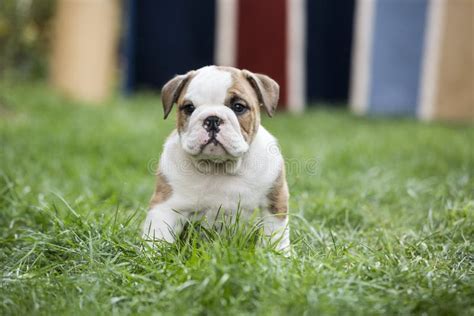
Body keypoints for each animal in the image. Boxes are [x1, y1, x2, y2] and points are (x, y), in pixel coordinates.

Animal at [141, 65, 288, 253]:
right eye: (189, 108)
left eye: (238, 107)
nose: (212, 119)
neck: (218, 167)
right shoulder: (165, 206)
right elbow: (157, 237)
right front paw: (150, 256)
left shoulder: (273, 206)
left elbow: (275, 237)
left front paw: (278, 256)